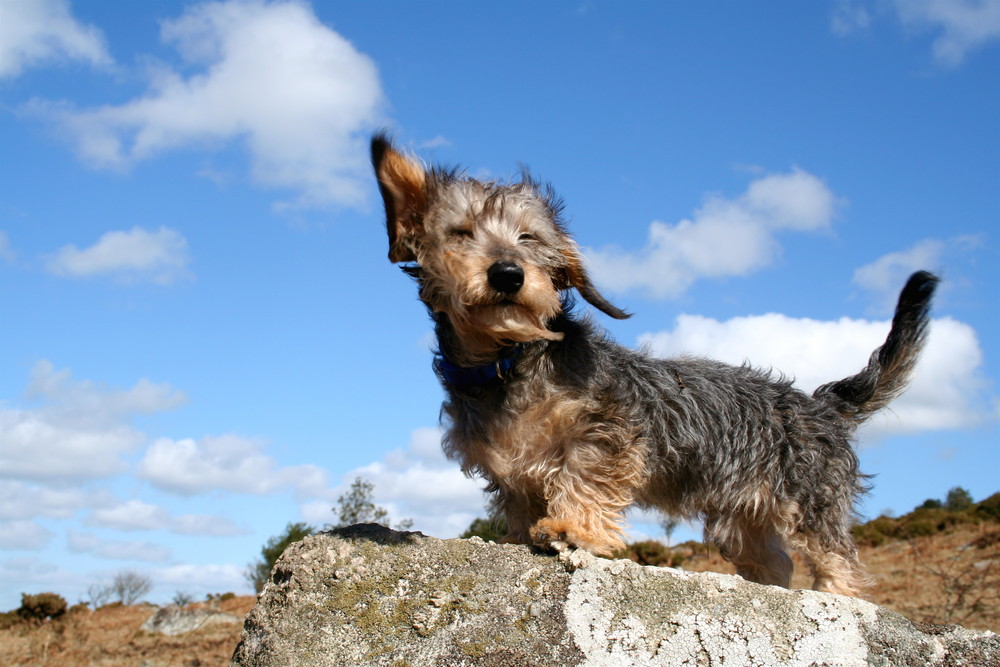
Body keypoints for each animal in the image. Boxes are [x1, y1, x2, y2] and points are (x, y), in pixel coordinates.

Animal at [374, 133, 936, 596]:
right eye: (461, 233)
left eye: (529, 239)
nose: (508, 274)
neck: (510, 362)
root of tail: (821, 406)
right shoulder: (510, 472)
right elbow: (521, 501)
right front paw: (521, 536)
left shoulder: (607, 433)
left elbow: (582, 476)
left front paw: (573, 528)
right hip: (743, 520)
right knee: (775, 562)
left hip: (814, 504)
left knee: (838, 561)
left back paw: (836, 596)